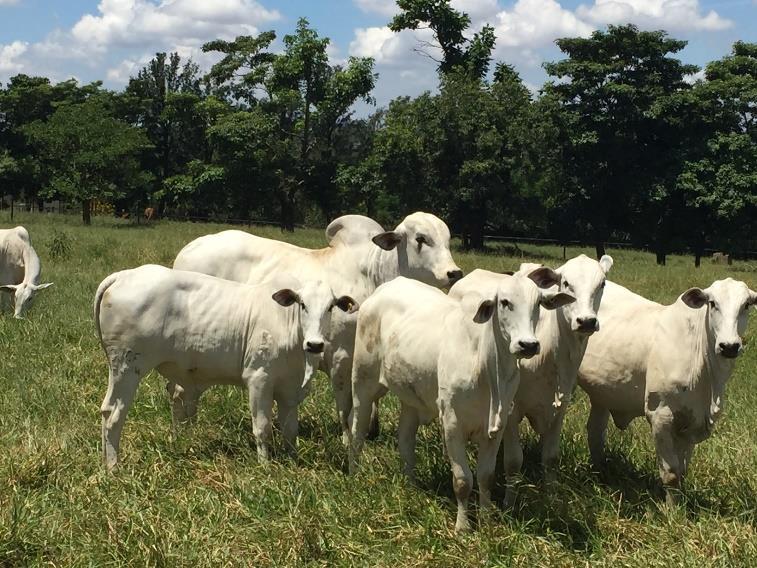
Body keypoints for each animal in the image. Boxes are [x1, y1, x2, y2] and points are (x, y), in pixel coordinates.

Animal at [95, 264, 358, 468]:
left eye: (331, 306)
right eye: (302, 304)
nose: (315, 344)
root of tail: (124, 274)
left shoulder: (290, 390)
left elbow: (290, 429)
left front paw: (292, 462)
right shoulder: (259, 380)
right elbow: (262, 427)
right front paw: (265, 466)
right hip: (127, 367)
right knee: (113, 414)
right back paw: (114, 467)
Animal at [173, 213, 460, 444]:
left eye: (447, 239)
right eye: (421, 239)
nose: (454, 273)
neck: (374, 277)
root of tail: (188, 250)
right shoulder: (341, 357)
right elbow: (345, 406)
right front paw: (347, 439)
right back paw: (184, 430)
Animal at [348, 272, 572, 532]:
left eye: (538, 304)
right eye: (505, 302)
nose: (528, 345)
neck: (485, 366)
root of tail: (383, 289)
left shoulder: (497, 427)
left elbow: (486, 476)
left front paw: (486, 518)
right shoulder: (452, 424)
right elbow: (463, 480)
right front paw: (463, 527)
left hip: (411, 397)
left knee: (405, 440)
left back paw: (411, 485)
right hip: (363, 382)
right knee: (357, 432)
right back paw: (354, 474)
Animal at [448, 255, 616, 504]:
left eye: (602, 284)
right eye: (566, 283)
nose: (586, 321)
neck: (551, 354)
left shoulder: (560, 409)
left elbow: (550, 458)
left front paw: (551, 497)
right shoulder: (510, 410)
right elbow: (513, 462)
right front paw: (509, 502)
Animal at [576, 278, 752, 502]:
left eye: (747, 304)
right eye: (712, 303)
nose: (729, 346)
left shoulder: (691, 423)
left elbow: (682, 471)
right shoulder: (660, 415)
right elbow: (671, 474)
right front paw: (671, 509)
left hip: (603, 394)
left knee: (596, 432)